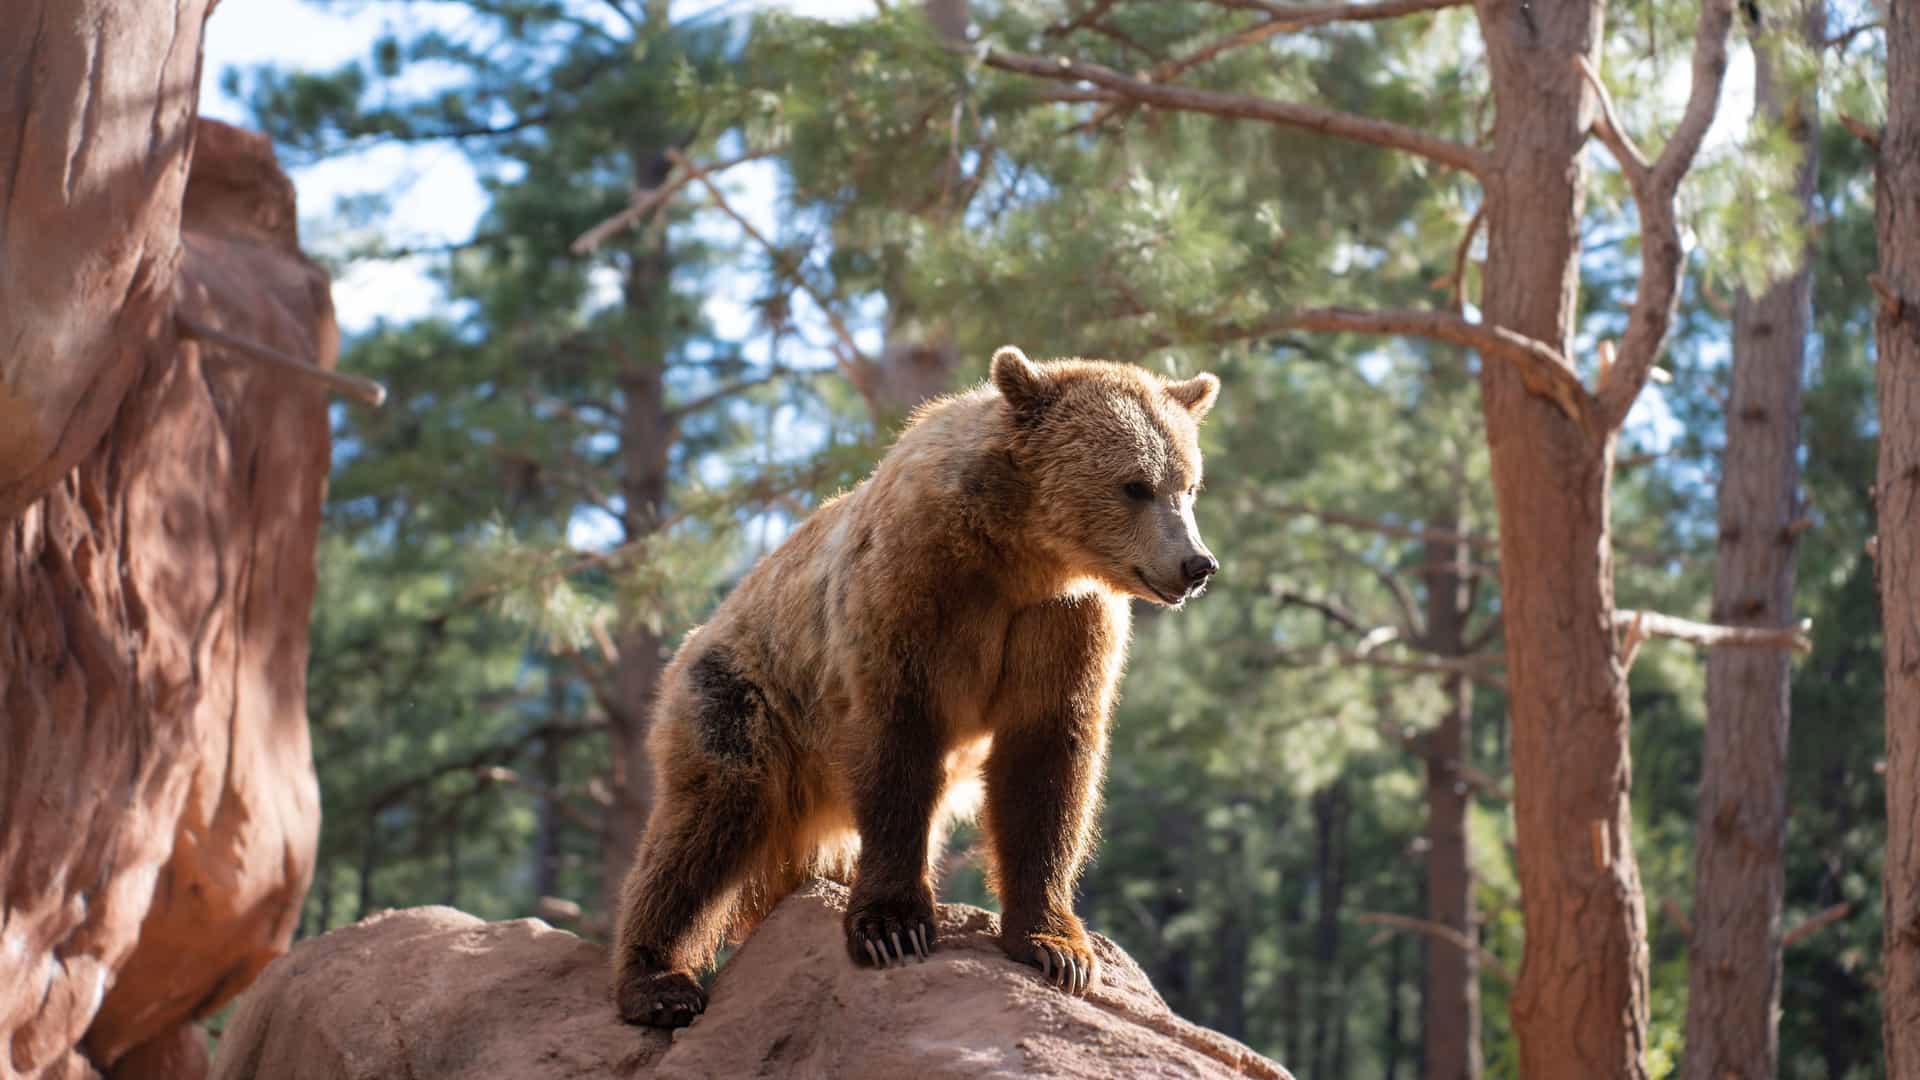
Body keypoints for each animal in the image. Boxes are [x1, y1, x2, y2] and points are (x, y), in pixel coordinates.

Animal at [611, 345, 1221, 1027]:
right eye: (1135, 484)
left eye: (1187, 485)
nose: (1196, 564)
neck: (1021, 553)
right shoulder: (914, 593)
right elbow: (900, 745)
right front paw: (893, 929)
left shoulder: (1063, 623)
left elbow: (1046, 766)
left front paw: (1057, 948)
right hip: (746, 696)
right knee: (709, 817)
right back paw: (659, 982)